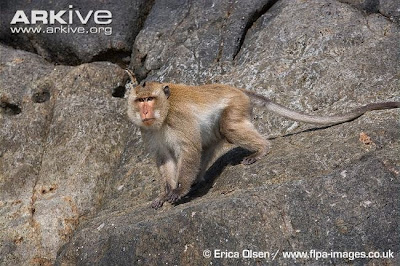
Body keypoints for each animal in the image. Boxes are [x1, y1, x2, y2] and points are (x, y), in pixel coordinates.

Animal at [125, 70, 400, 210]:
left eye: (149, 99)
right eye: (140, 100)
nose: (145, 111)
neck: (163, 114)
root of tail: (239, 90)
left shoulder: (179, 119)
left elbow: (189, 149)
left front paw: (179, 190)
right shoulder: (148, 132)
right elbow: (165, 159)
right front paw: (166, 193)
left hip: (235, 106)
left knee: (228, 127)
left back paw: (261, 149)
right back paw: (199, 181)